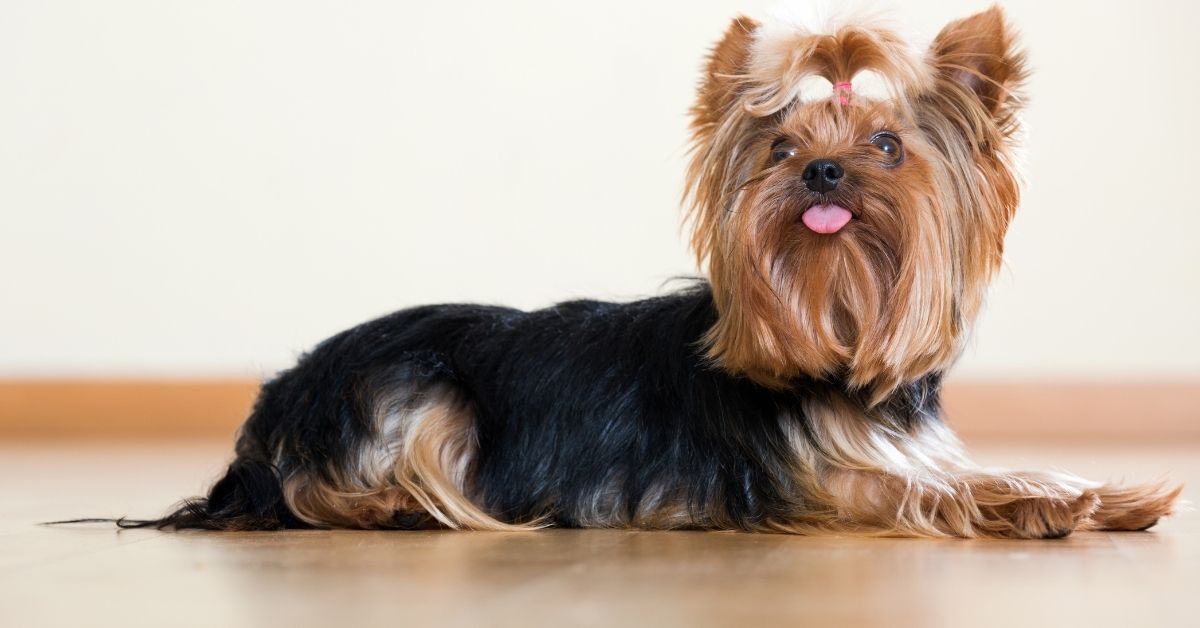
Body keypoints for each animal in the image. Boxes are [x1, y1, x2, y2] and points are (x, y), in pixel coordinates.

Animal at [124, 4, 1180, 537]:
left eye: (886, 145)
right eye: (783, 145)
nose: (821, 170)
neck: (835, 332)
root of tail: (269, 406)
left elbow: (969, 469)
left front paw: (1108, 493)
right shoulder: (818, 484)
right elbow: (930, 491)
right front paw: (1045, 503)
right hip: (419, 391)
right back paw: (398, 503)